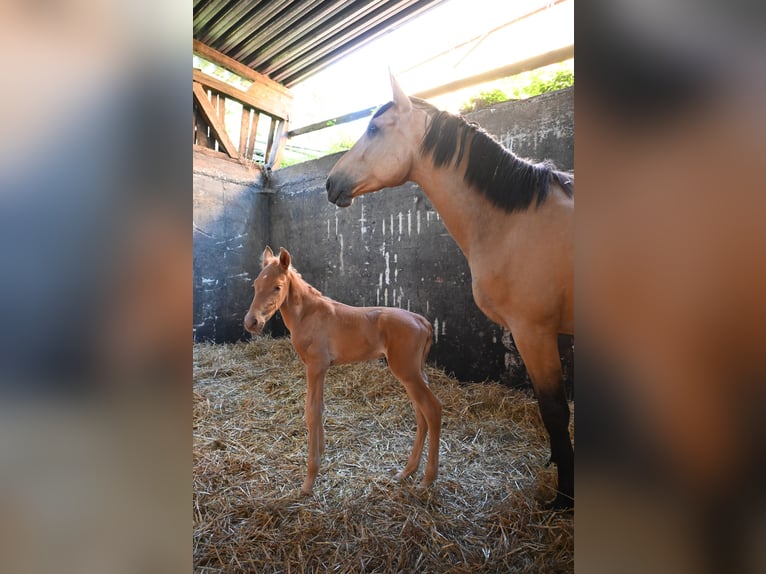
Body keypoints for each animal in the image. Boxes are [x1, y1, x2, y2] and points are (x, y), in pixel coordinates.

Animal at [244, 246, 442, 496]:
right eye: (255, 285)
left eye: (277, 287)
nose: (251, 322)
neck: (308, 314)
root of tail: (423, 322)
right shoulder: (321, 369)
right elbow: (319, 408)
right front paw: (321, 452)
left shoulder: (315, 366)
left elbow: (311, 412)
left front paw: (309, 481)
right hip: (415, 373)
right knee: (421, 414)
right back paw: (407, 472)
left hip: (407, 372)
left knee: (432, 410)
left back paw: (427, 479)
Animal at [325, 74, 574, 509]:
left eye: (375, 128)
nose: (329, 182)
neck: (515, 221)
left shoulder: (534, 331)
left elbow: (556, 413)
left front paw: (563, 500)